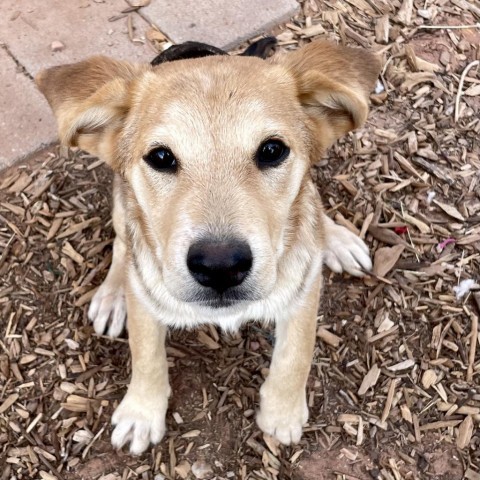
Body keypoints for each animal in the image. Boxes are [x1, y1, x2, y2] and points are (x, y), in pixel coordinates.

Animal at [37, 40, 380, 454]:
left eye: (272, 150)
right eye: (161, 157)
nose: (221, 266)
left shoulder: (302, 290)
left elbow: (295, 354)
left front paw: (281, 412)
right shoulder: (147, 300)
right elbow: (146, 355)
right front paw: (141, 413)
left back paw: (335, 239)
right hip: (122, 203)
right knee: (123, 244)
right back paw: (112, 295)